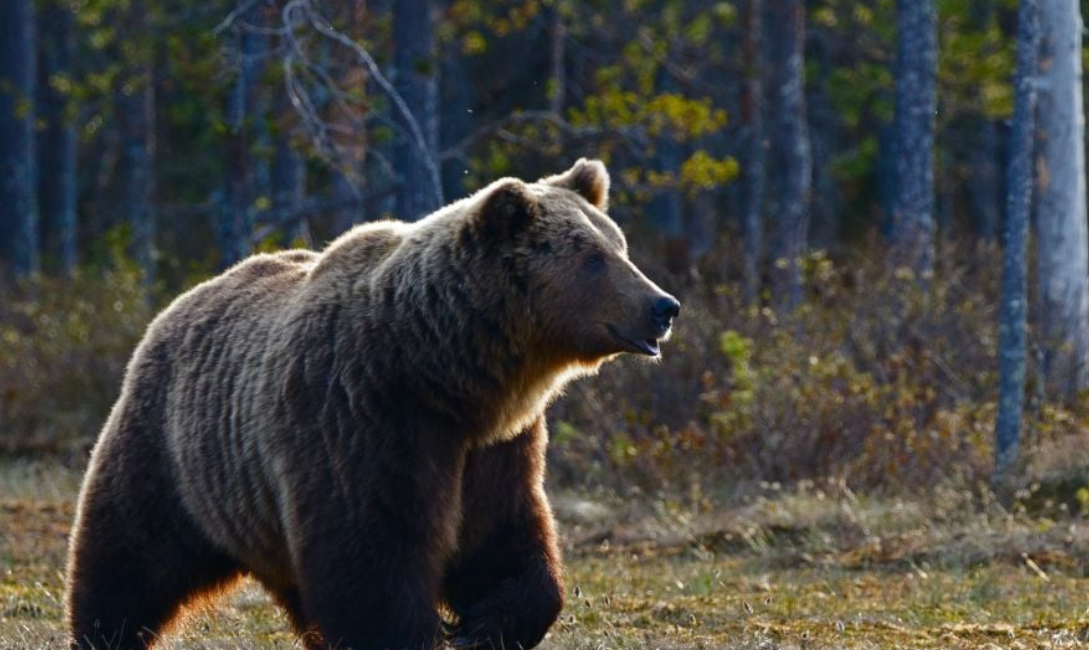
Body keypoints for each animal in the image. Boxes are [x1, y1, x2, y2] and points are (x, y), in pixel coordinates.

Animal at [63, 158, 675, 648]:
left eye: (619, 246)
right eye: (592, 258)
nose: (663, 305)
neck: (444, 372)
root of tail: (181, 302)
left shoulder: (495, 446)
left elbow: (504, 540)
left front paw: (484, 625)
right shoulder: (362, 416)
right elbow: (372, 557)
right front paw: (425, 633)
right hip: (174, 455)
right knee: (126, 559)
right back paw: (104, 632)